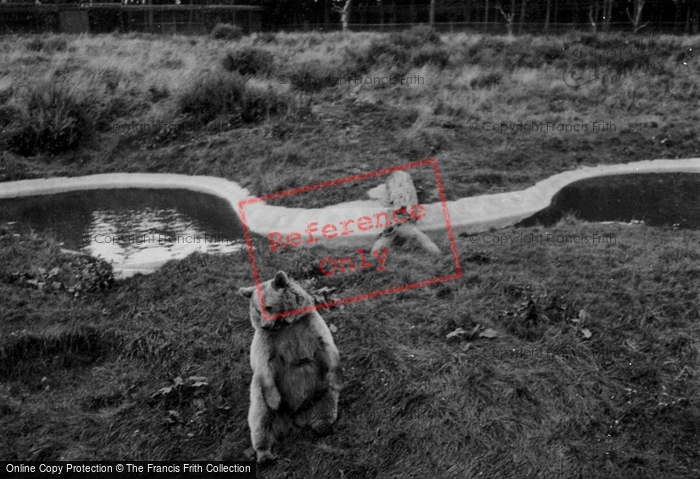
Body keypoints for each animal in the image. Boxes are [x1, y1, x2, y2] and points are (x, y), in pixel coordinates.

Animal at [239, 272, 344, 464]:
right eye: (257, 310)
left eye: (269, 307)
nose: (264, 324)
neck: (286, 324)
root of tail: (294, 420)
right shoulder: (267, 342)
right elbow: (262, 364)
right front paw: (275, 400)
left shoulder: (310, 326)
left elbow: (327, 346)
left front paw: (338, 380)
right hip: (260, 398)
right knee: (260, 420)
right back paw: (264, 454)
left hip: (320, 390)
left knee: (327, 403)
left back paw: (323, 426)